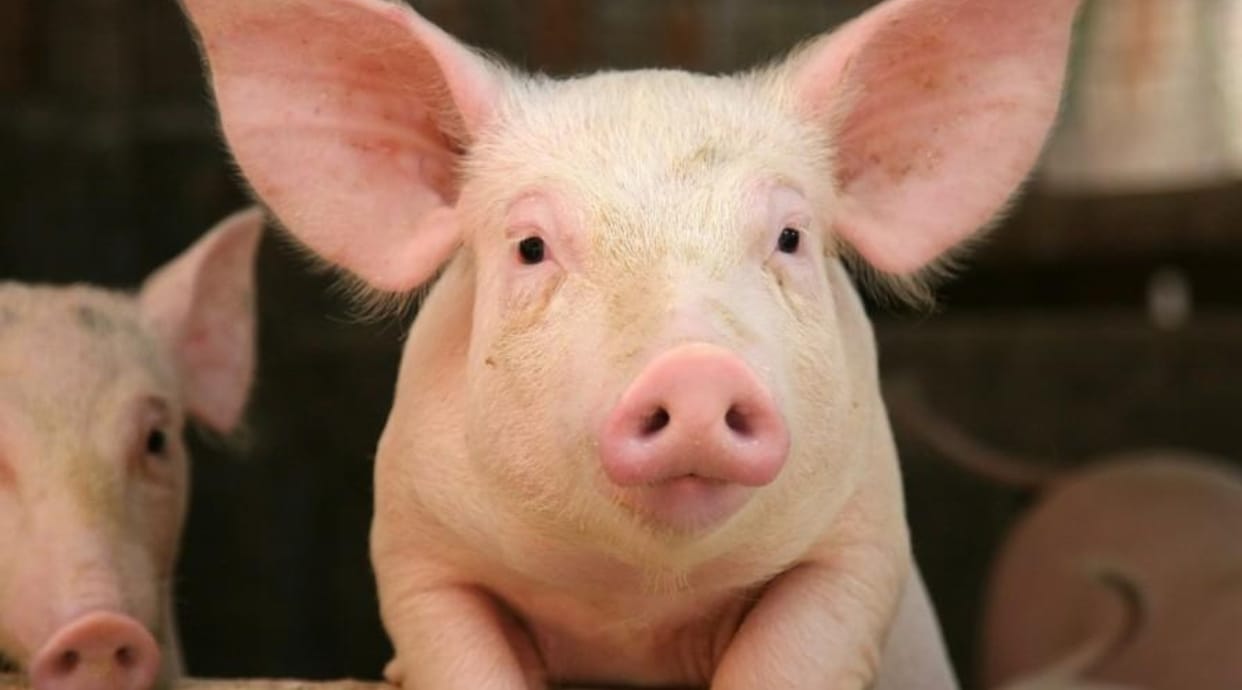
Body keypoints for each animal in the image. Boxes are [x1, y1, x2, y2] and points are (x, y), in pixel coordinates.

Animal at [177, 0, 1082, 686]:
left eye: (789, 237)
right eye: (530, 247)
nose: (695, 370)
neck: (637, 607)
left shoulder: (860, 546)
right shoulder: (415, 551)